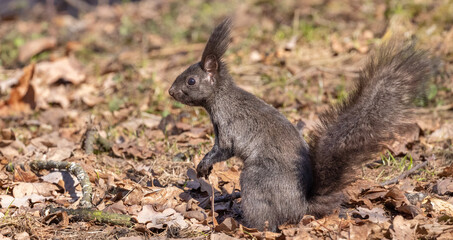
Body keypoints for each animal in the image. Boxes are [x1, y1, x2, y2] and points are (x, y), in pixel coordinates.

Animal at [168, 18, 430, 232]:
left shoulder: (230, 127)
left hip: (256, 181)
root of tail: (302, 206)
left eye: (191, 81)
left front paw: (203, 165)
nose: (170, 92)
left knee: (268, 222)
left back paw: (247, 226)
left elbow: (223, 149)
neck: (221, 97)